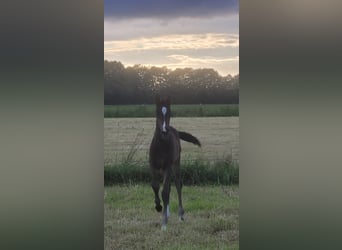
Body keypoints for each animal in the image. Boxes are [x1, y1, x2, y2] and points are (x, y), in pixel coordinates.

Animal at [149, 96, 202, 230]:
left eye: (169, 113)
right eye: (157, 112)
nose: (164, 131)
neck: (160, 146)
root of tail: (175, 130)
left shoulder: (167, 167)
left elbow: (165, 192)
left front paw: (164, 224)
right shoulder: (152, 166)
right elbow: (155, 186)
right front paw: (158, 207)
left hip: (176, 164)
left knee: (178, 185)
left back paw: (180, 215)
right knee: (168, 187)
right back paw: (167, 212)